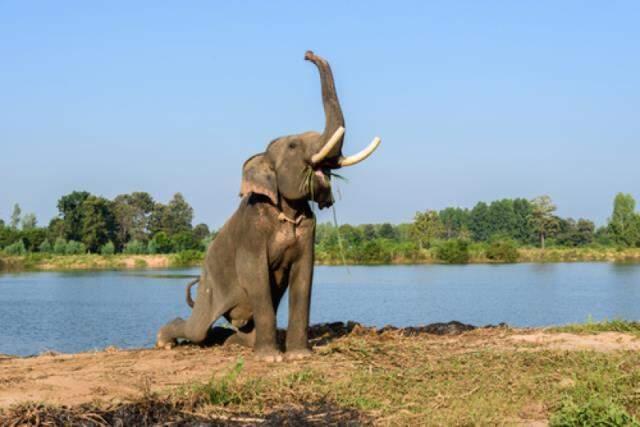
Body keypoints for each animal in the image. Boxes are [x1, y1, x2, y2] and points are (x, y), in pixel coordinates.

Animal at [156, 51, 382, 362]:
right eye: (293, 146)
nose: (308, 54)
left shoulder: (309, 228)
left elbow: (304, 275)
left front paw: (298, 355)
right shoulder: (252, 231)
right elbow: (257, 275)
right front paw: (270, 358)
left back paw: (231, 343)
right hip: (209, 286)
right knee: (197, 329)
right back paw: (164, 342)